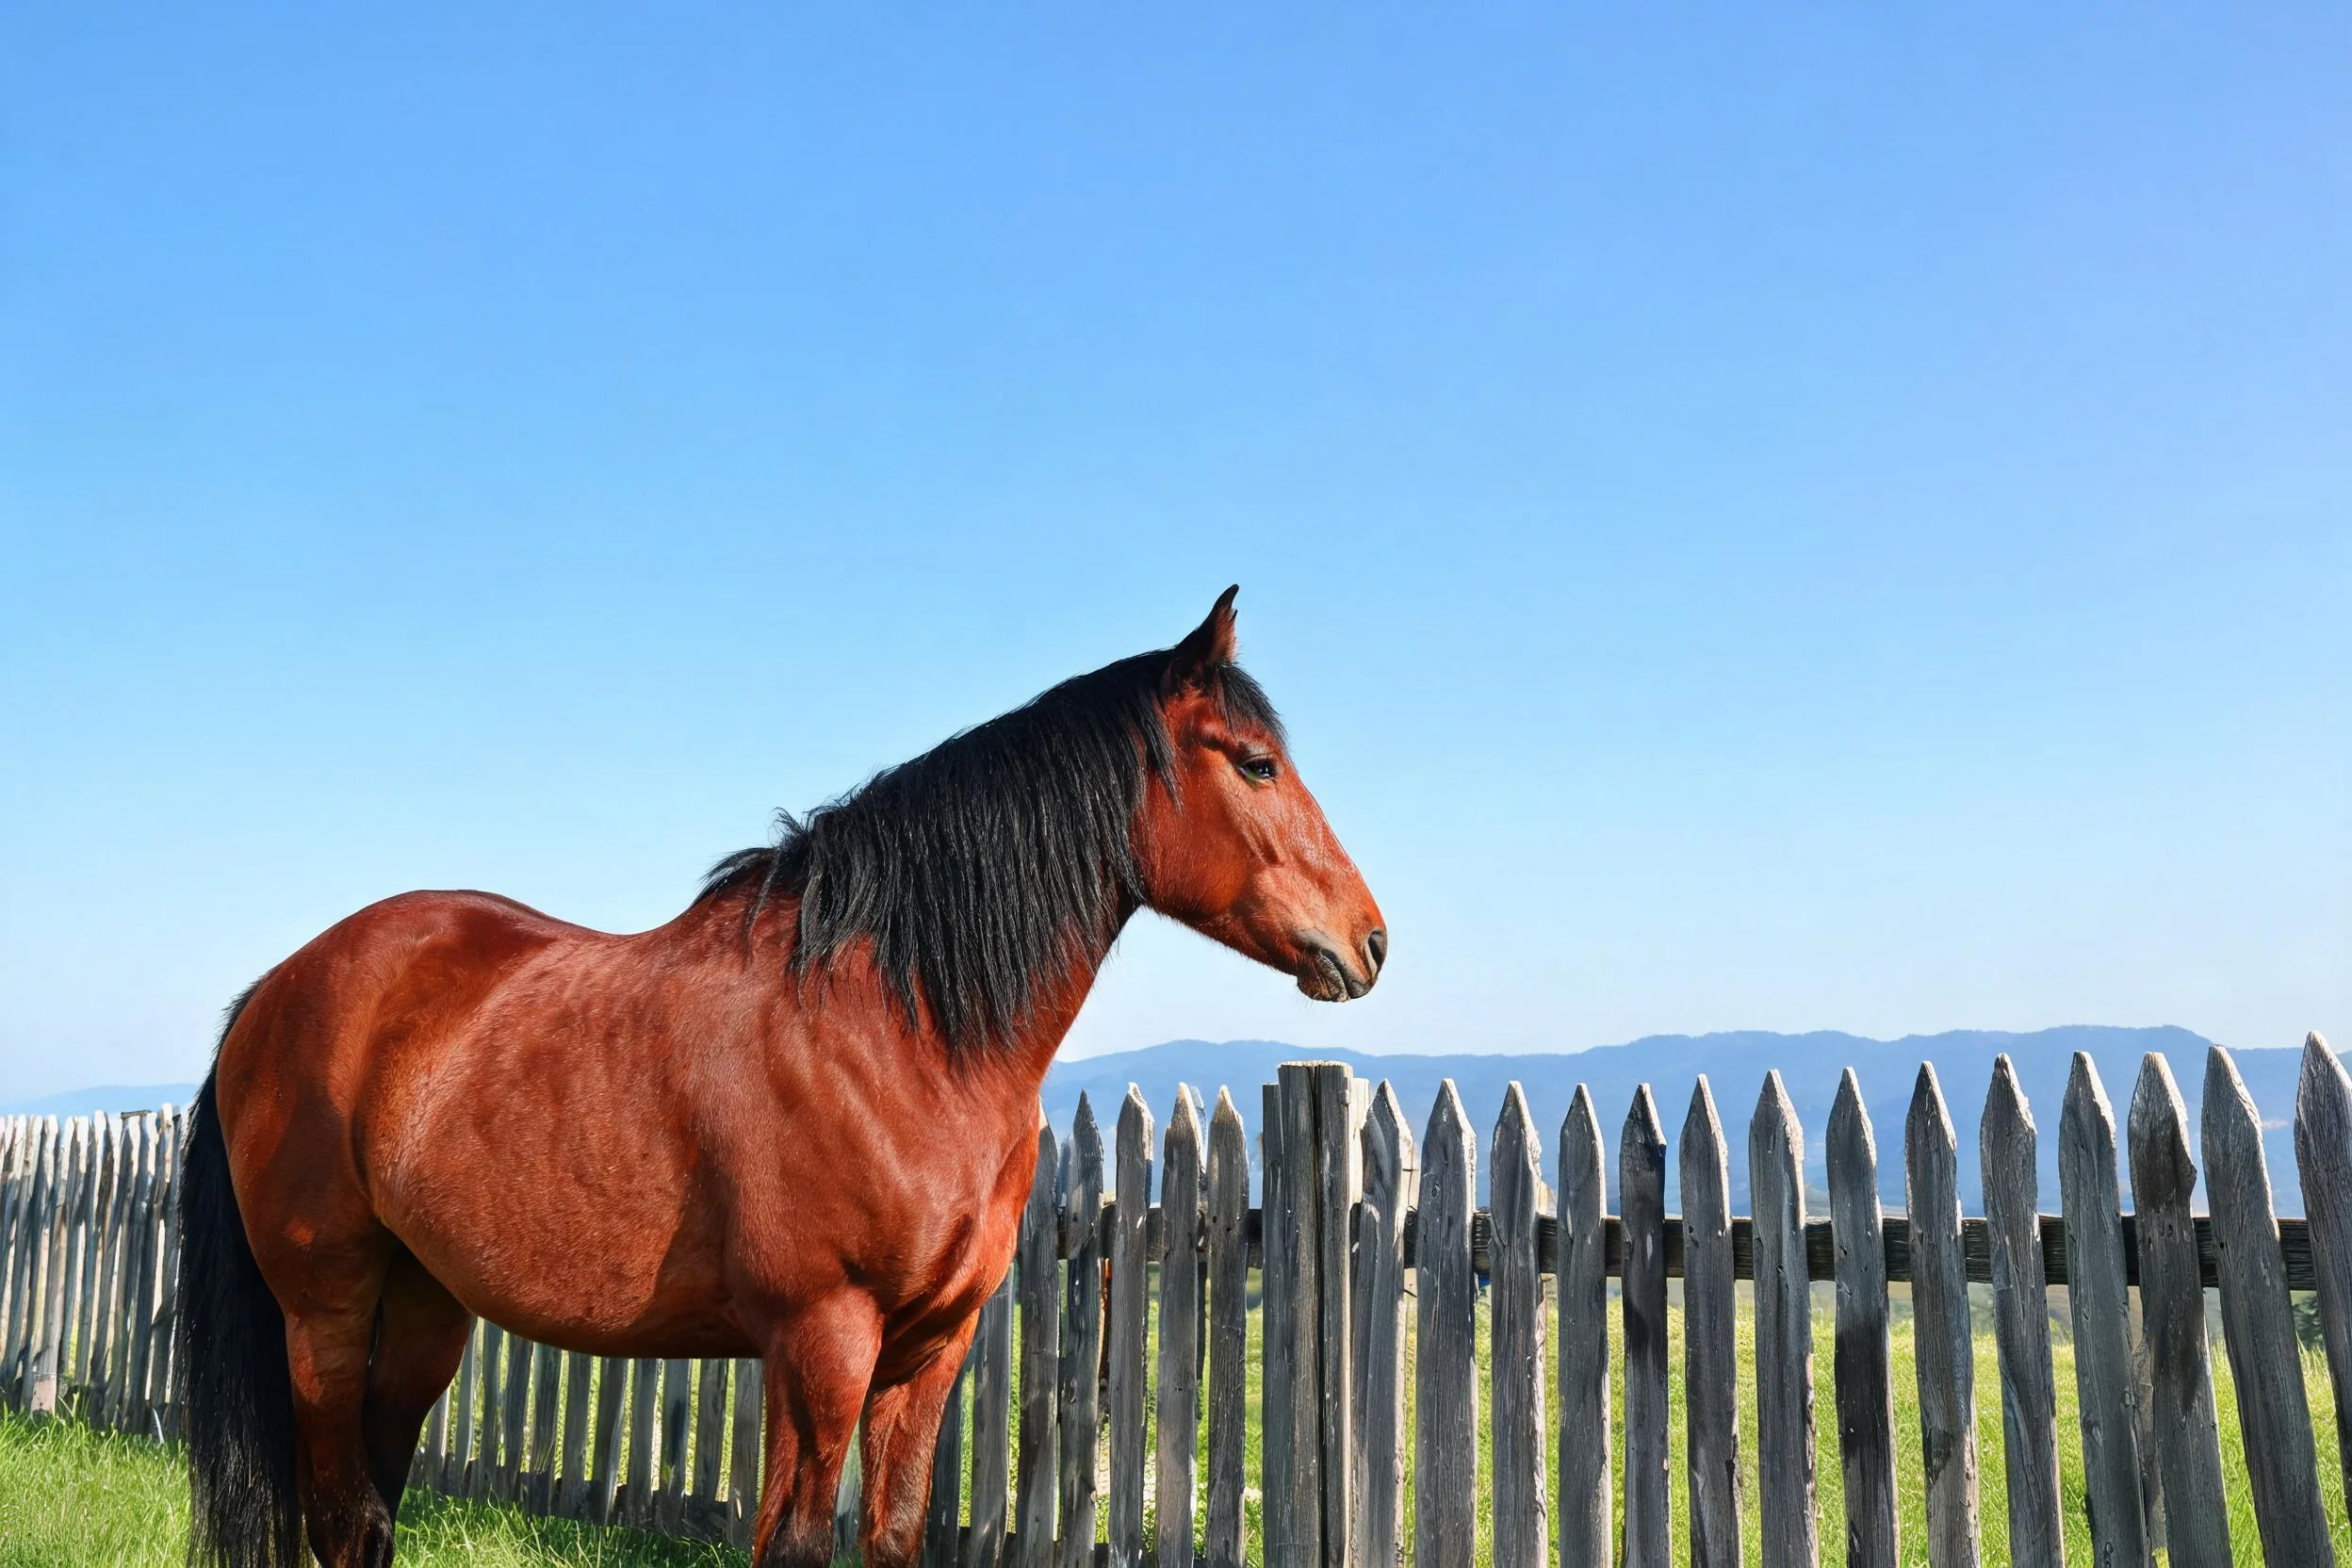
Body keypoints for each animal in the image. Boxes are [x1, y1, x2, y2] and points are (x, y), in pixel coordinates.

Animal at [177, 587, 1386, 1568]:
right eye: (1256, 761)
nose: (1368, 941)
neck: (898, 1030)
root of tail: (272, 992)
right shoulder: (820, 1339)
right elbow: (796, 1542)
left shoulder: (927, 1350)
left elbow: (892, 1536)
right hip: (324, 1313)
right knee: (340, 1513)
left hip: (427, 1306)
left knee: (369, 1517)